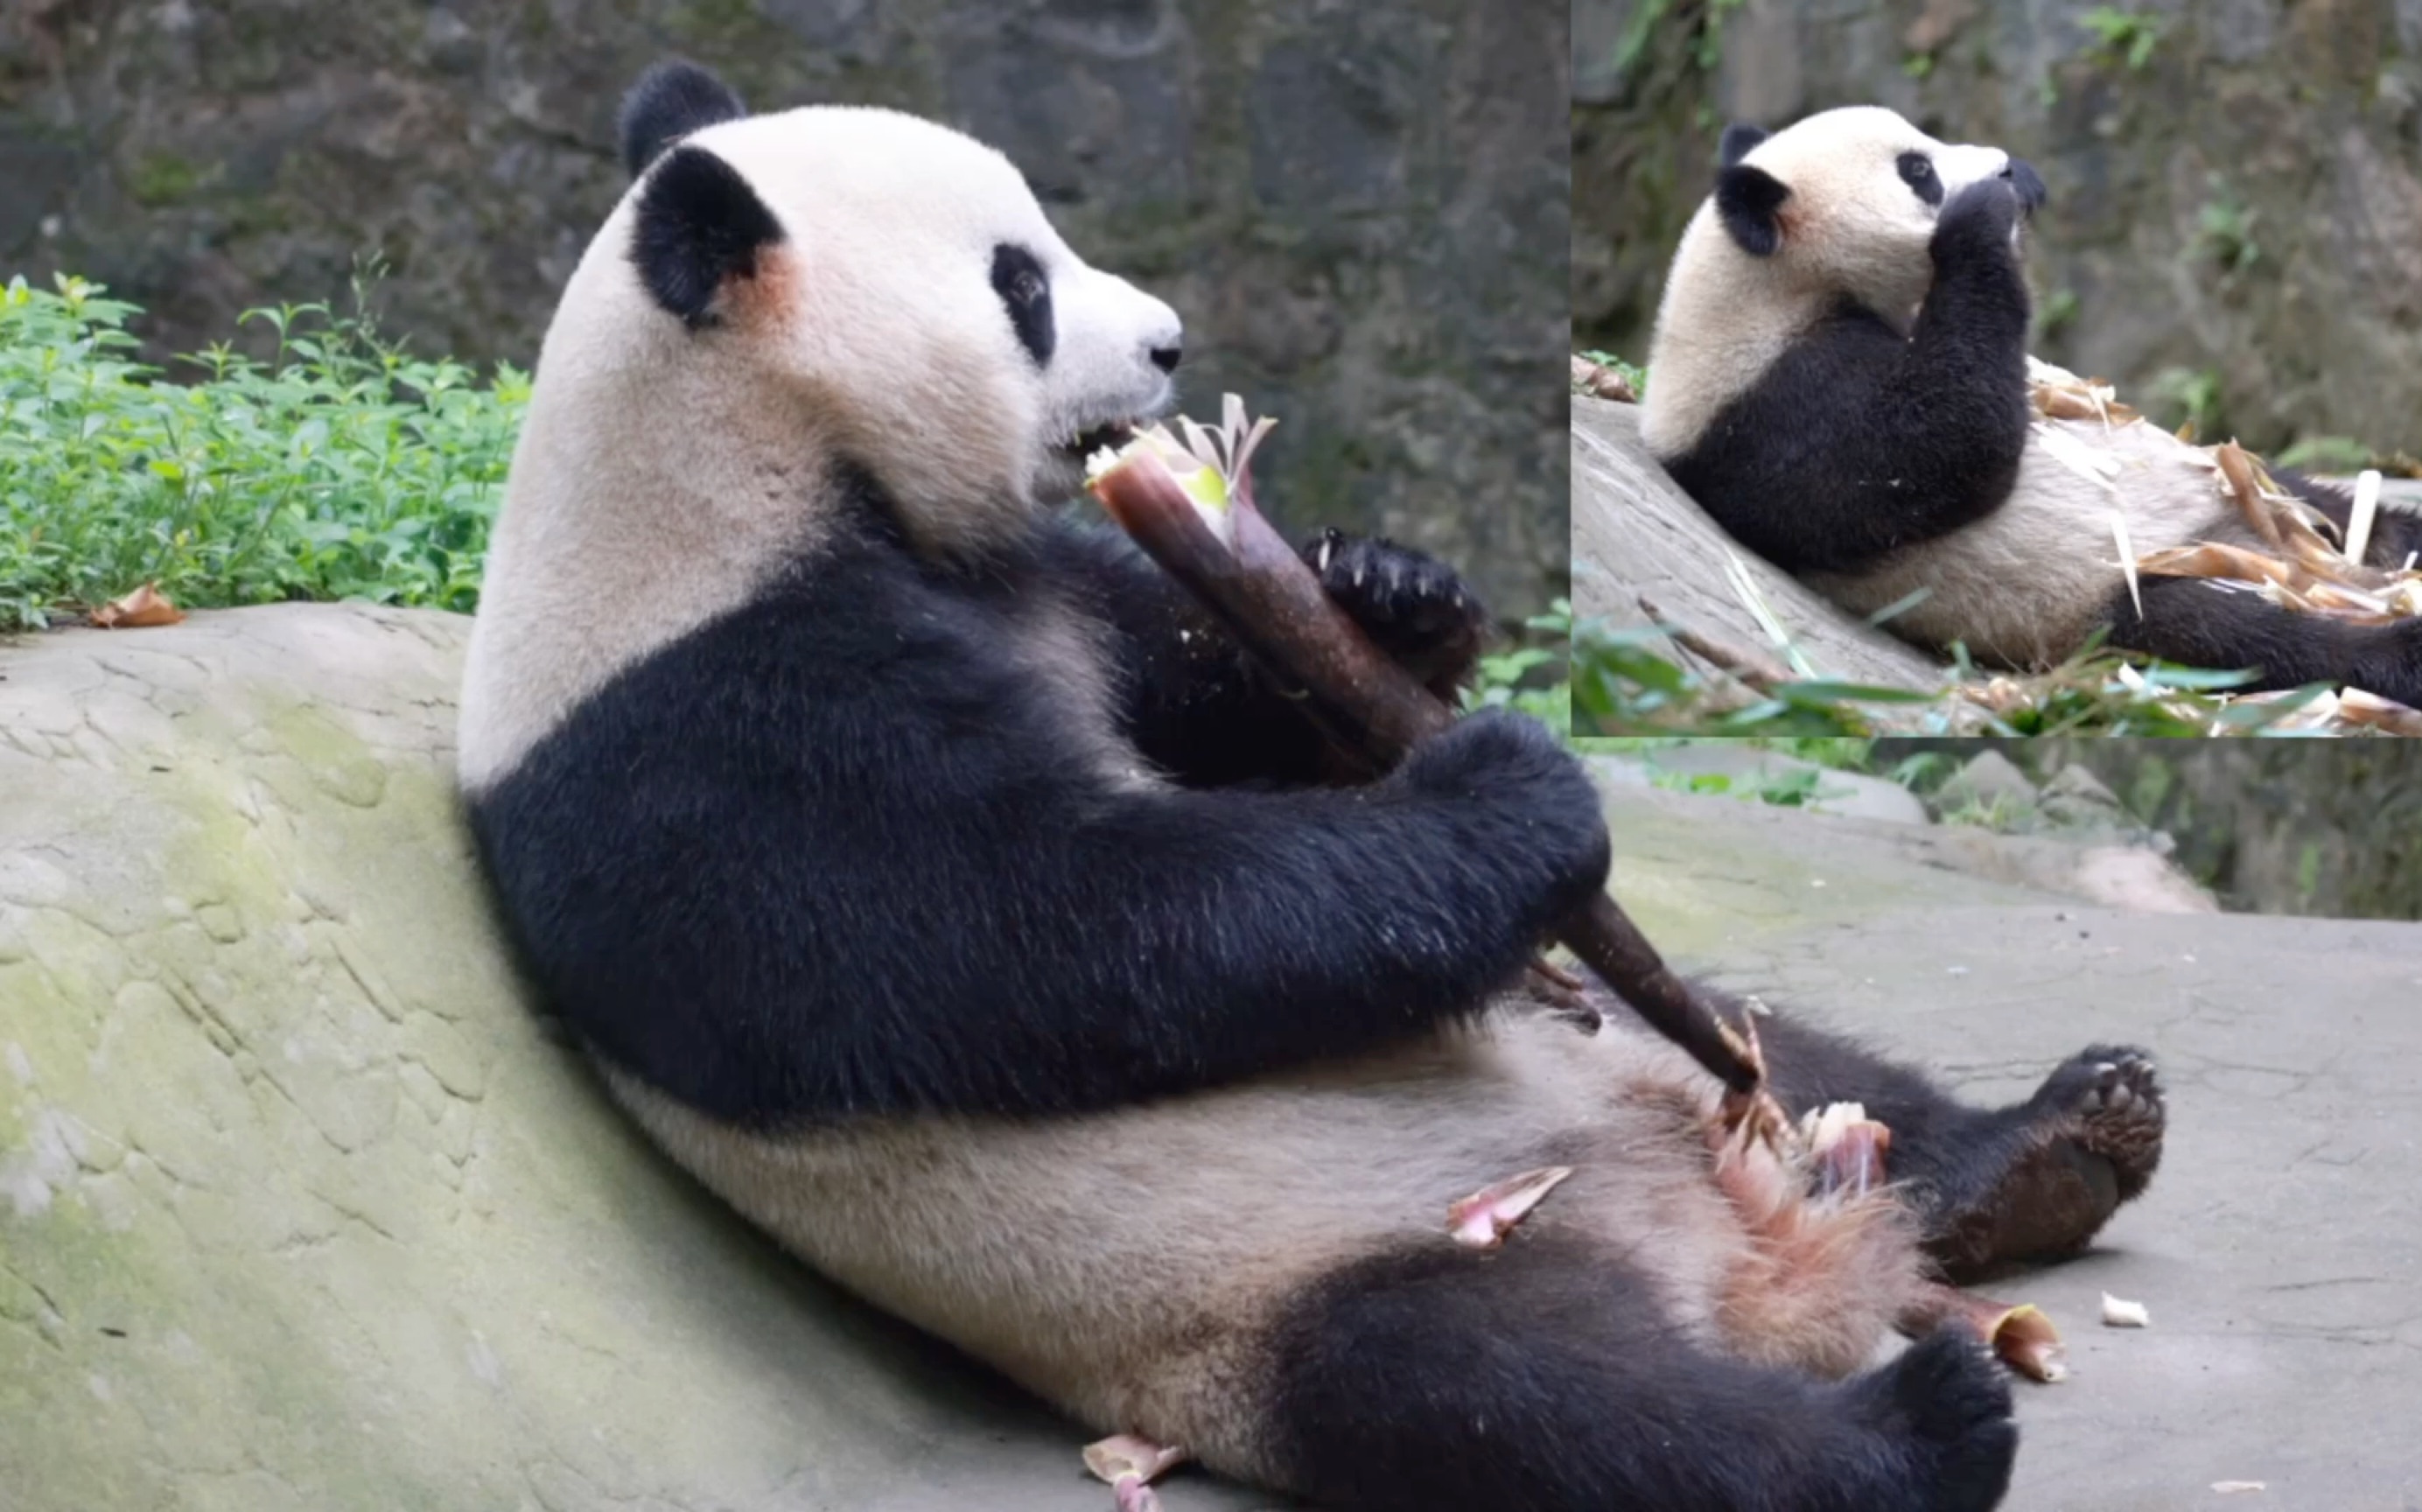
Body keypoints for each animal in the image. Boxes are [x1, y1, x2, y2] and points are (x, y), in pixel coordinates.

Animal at [462, 61, 2170, 1512]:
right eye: (1021, 285)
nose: (1163, 342)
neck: (744, 479)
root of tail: (1740, 1262)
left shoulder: (1041, 586)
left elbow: (1213, 684)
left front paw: (1390, 591)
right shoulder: (702, 736)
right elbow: (1050, 925)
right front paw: (1508, 786)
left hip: (1655, 1059)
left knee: (1801, 1059)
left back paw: (2052, 1144)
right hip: (1280, 1294)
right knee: (1539, 1409)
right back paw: (1912, 1424)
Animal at [1628, 108, 2422, 707]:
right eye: (1916, 170)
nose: (2007, 169)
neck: (1762, 286)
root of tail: (2250, 544)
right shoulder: (1770, 407)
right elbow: (1939, 453)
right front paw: (1980, 218)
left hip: (2252, 495)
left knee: (2336, 510)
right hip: (2105, 593)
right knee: (2236, 634)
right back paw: (2389, 651)